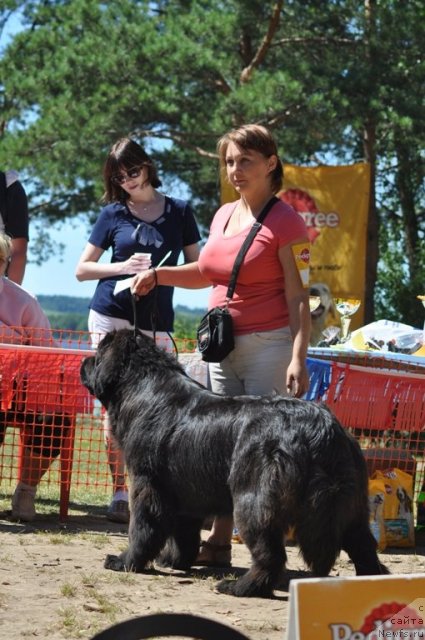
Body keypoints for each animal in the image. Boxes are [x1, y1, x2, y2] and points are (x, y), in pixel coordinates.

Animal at [80, 330, 388, 600]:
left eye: (98, 354)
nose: (84, 361)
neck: (142, 387)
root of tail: (323, 427)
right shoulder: (186, 493)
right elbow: (183, 534)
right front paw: (175, 560)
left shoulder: (147, 484)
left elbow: (143, 528)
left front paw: (125, 561)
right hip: (350, 506)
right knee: (364, 548)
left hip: (253, 501)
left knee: (271, 554)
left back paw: (240, 587)